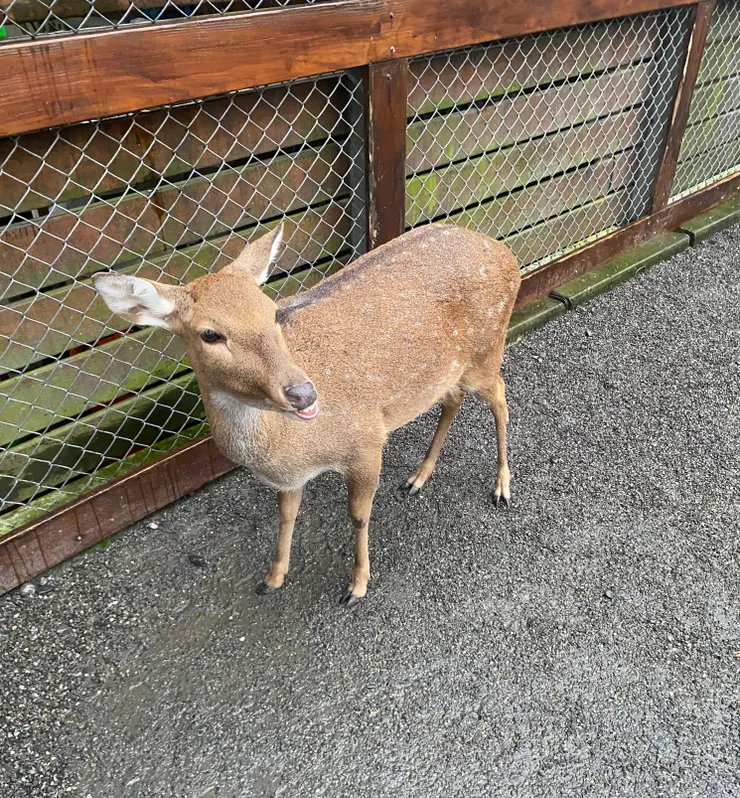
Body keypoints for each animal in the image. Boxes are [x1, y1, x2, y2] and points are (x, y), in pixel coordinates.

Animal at [93, 223, 521, 606]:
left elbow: (358, 516)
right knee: (453, 399)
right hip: (448, 370)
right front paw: (273, 578)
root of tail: (506, 252)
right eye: (209, 334)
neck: (288, 449)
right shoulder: (289, 477)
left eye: (272, 312)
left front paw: (357, 586)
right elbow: (285, 516)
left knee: (500, 395)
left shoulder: (365, 440)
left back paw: (501, 487)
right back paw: (418, 477)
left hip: (487, 350)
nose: (303, 393)